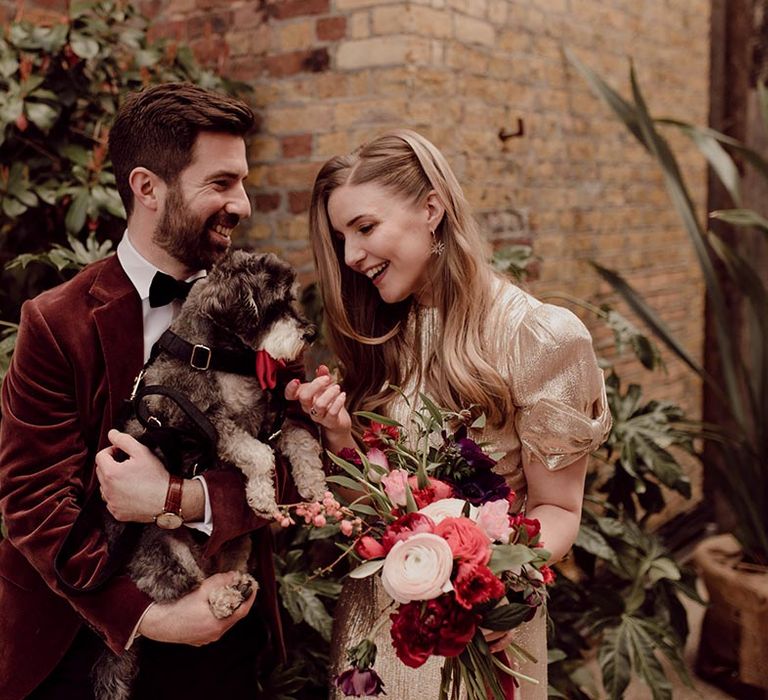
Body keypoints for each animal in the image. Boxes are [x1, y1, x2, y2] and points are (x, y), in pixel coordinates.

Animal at [94, 252, 328, 700]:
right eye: (273, 305)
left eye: (291, 299)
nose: (309, 333)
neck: (214, 354)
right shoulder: (213, 425)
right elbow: (257, 455)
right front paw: (263, 498)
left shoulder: (266, 421)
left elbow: (300, 439)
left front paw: (313, 485)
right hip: (165, 553)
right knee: (180, 594)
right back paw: (221, 601)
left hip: (237, 545)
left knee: (221, 572)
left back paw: (237, 587)